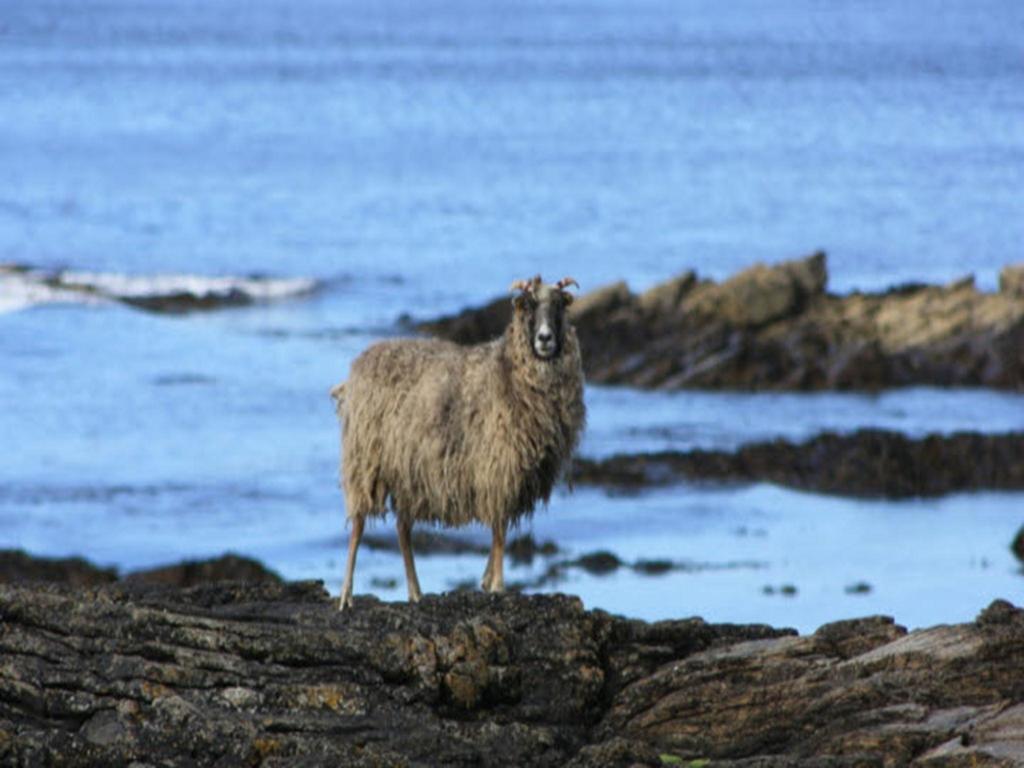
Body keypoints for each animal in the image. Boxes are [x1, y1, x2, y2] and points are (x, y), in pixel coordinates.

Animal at [327, 274, 585, 610]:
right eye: (528, 305)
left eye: (558, 306)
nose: (544, 338)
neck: (507, 371)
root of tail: (357, 367)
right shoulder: (496, 468)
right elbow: (499, 531)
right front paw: (498, 585)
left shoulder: (509, 476)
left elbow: (499, 530)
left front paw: (487, 581)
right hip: (365, 461)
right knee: (358, 526)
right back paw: (346, 594)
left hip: (407, 471)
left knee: (402, 529)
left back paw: (415, 592)